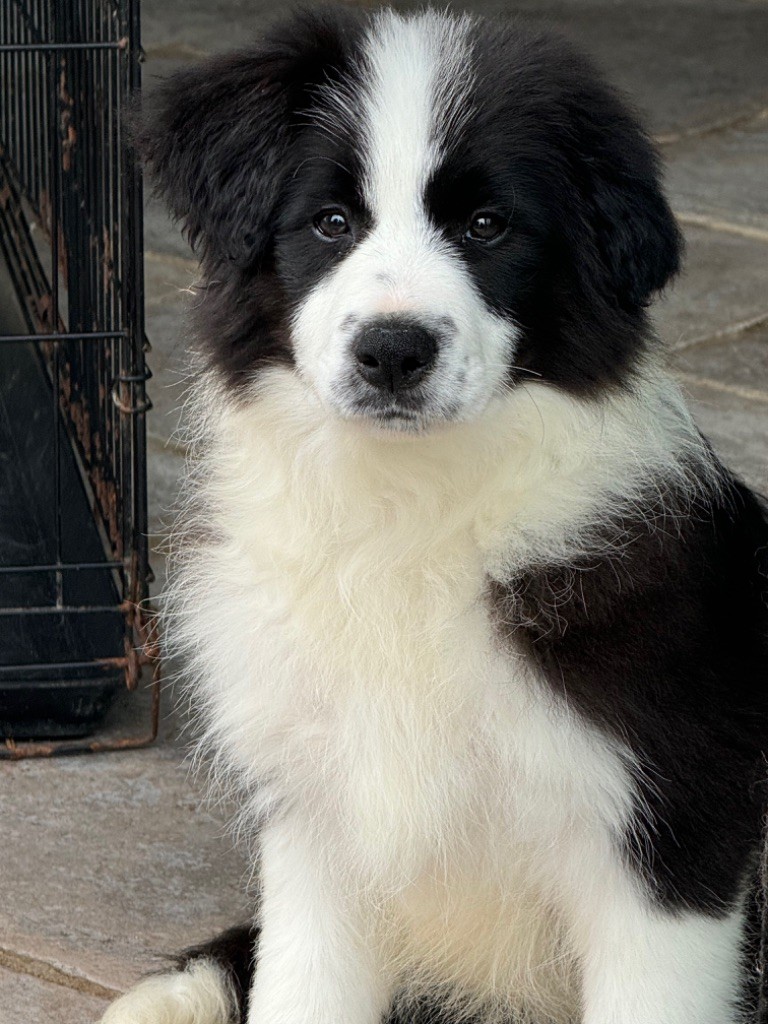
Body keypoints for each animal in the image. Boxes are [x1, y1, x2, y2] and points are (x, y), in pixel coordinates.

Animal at [103, 8, 768, 1024]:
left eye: (488, 226)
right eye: (331, 221)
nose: (393, 351)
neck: (409, 511)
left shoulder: (672, 835)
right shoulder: (315, 822)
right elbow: (301, 989)